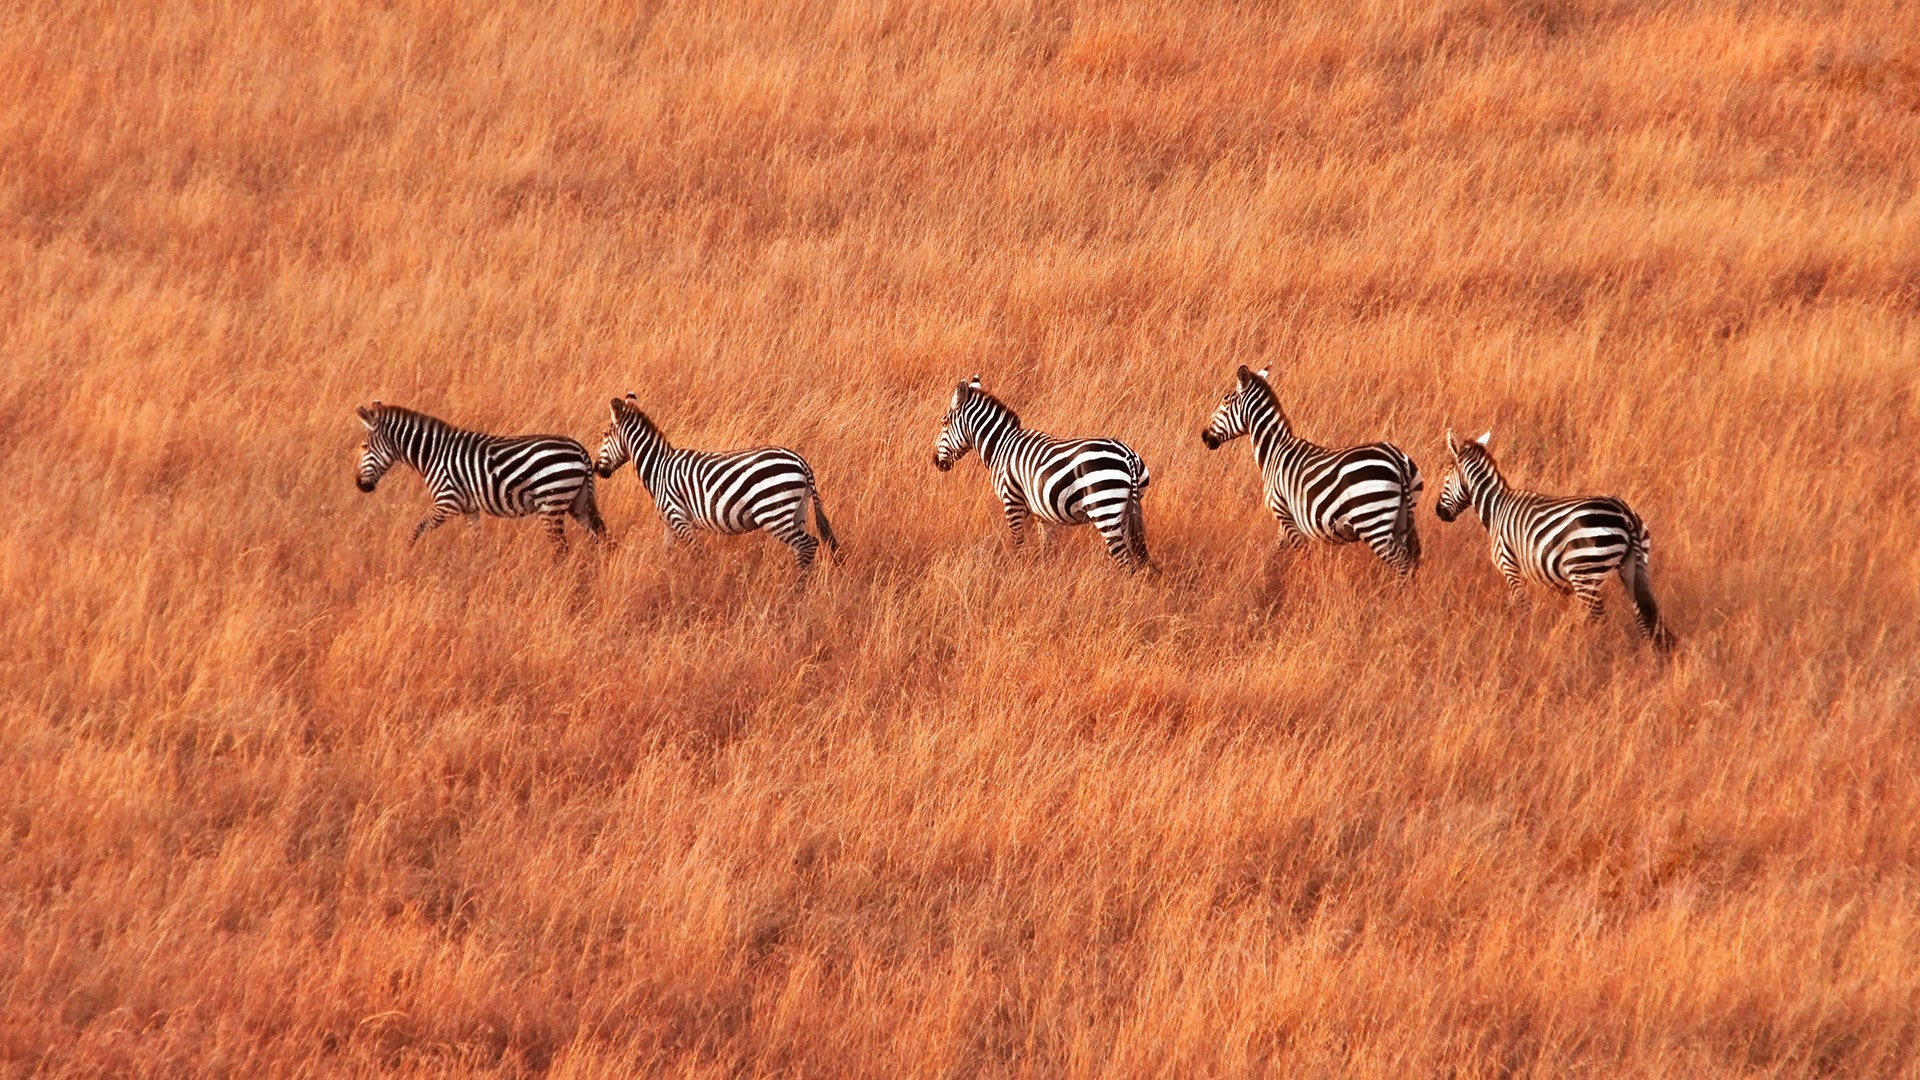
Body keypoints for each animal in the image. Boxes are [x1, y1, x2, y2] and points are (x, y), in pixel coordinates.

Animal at [353, 399, 602, 549]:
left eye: (364, 447)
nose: (359, 485)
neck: (432, 455)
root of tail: (579, 450)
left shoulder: (447, 502)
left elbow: (417, 530)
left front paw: (407, 555)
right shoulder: (469, 508)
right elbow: (476, 541)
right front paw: (476, 566)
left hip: (552, 501)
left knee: (561, 548)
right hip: (577, 502)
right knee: (600, 538)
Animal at [595, 388, 837, 572]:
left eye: (605, 436)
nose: (597, 468)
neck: (658, 469)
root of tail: (800, 461)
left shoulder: (678, 517)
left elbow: (698, 553)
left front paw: (698, 581)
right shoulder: (669, 523)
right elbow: (667, 552)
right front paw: (665, 576)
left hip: (773, 512)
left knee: (807, 544)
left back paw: (798, 588)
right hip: (797, 510)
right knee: (802, 547)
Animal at [933, 374, 1144, 568]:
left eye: (944, 423)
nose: (935, 461)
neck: (1001, 445)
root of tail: (1128, 457)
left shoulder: (1013, 502)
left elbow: (1018, 543)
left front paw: (1017, 570)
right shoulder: (1042, 513)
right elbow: (1046, 549)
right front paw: (1045, 574)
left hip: (1105, 508)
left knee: (1125, 560)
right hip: (1125, 511)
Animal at [1436, 426, 1674, 645]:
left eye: (1446, 477)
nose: (1439, 512)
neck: (1495, 509)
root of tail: (1626, 515)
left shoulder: (1509, 566)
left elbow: (1522, 607)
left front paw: (1522, 637)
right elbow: (1514, 606)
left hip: (1584, 571)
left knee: (1600, 618)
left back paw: (1589, 648)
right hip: (1632, 566)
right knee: (1644, 619)